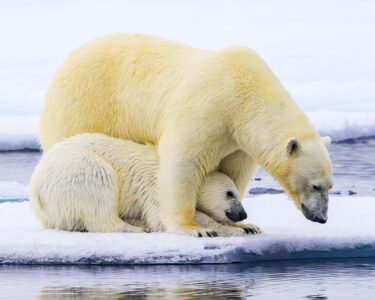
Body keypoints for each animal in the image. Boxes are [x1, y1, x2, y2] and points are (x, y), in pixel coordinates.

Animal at [40, 33, 334, 237]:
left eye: (330, 186)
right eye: (315, 185)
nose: (322, 218)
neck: (243, 95)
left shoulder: (238, 139)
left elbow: (232, 170)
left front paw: (244, 223)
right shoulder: (207, 108)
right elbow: (182, 163)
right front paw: (194, 227)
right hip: (84, 107)